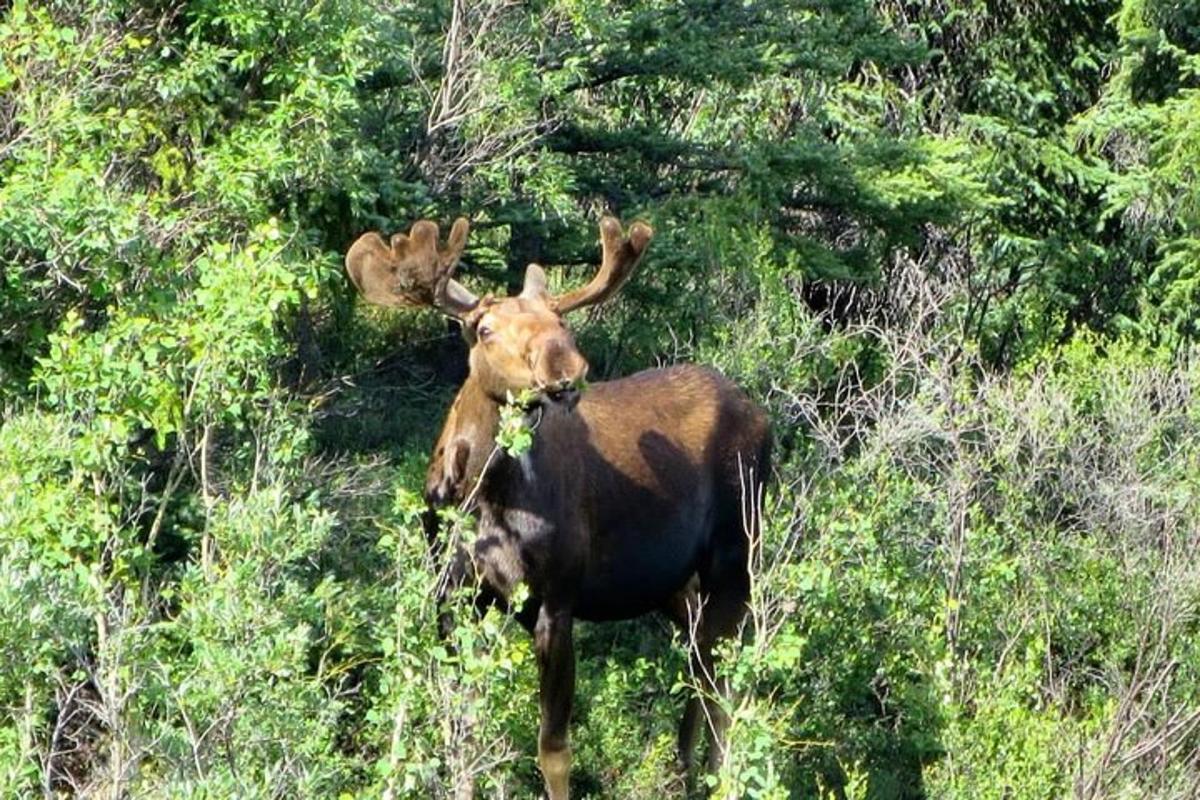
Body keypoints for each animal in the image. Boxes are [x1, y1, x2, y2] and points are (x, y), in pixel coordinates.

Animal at [343, 215, 772, 796]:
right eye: (484, 328)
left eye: (559, 320)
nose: (566, 367)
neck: (480, 493)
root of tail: (762, 417)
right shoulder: (453, 594)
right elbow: (461, 725)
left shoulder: (557, 599)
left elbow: (553, 748)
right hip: (673, 584)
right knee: (699, 663)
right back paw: (685, 769)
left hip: (735, 554)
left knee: (722, 678)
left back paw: (714, 775)